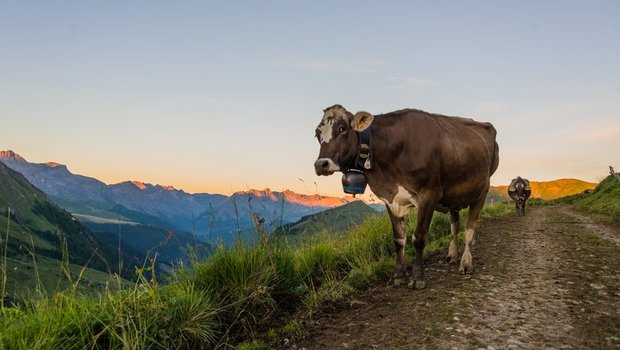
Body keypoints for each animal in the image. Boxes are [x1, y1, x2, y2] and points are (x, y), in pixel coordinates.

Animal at [314, 104, 498, 290]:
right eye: (317, 134)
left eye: (342, 128)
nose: (320, 164)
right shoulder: (390, 199)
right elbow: (399, 239)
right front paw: (399, 276)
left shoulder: (428, 194)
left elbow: (419, 238)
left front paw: (417, 277)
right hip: (453, 194)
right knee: (454, 225)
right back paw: (451, 255)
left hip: (482, 191)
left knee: (469, 230)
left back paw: (466, 263)